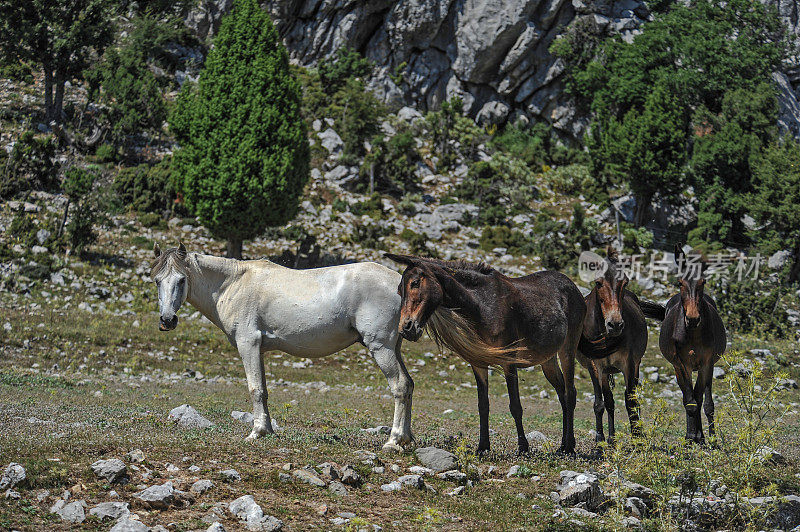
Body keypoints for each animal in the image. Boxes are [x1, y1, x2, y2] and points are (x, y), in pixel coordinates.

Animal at [148, 243, 418, 450]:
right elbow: (263, 390)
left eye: (181, 280)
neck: (233, 284)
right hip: (393, 349)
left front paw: (257, 432)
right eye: (157, 281)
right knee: (409, 384)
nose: (167, 320)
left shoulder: (248, 344)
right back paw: (406, 438)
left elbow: (255, 389)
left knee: (400, 386)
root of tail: (399, 282)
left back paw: (393, 440)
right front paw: (267, 429)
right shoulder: (258, 350)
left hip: (381, 348)